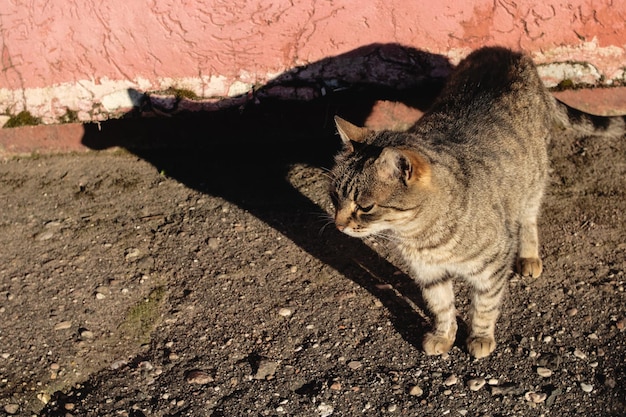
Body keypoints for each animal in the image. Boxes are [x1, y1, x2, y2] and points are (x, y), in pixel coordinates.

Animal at [330, 45, 620, 358]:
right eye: (335, 197)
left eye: (365, 207)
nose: (337, 225)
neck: (419, 234)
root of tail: (507, 51)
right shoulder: (428, 272)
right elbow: (441, 305)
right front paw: (443, 335)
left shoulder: (493, 264)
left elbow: (485, 305)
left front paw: (480, 337)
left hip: (533, 180)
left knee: (529, 218)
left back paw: (529, 255)